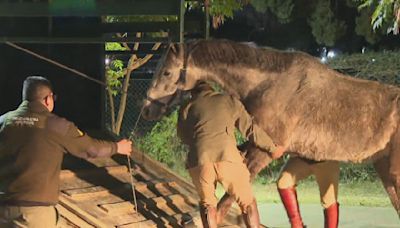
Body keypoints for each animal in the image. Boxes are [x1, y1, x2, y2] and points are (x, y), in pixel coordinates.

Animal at [141, 39, 400, 217]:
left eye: (167, 72)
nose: (146, 110)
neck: (269, 85)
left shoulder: (263, 152)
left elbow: (228, 200)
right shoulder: (254, 145)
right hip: (384, 169)